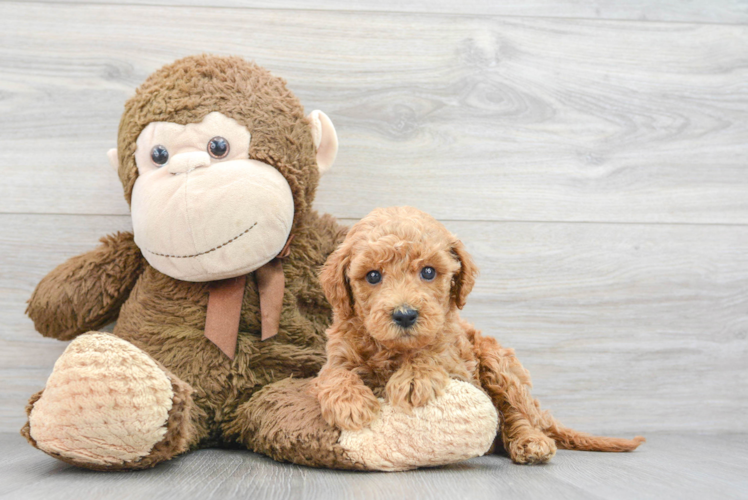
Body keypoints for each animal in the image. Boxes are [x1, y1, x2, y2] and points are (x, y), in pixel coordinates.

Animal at [312, 207, 644, 464]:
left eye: (428, 272)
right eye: (373, 276)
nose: (405, 315)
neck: (393, 350)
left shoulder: (459, 363)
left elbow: (433, 354)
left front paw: (414, 377)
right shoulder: (337, 354)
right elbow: (333, 374)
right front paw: (351, 403)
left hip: (497, 362)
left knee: (515, 413)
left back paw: (531, 442)